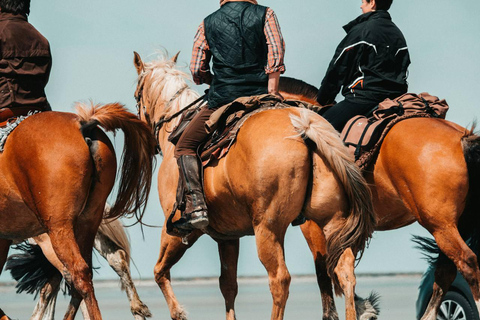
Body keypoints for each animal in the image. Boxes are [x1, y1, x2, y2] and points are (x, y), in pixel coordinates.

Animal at [0, 103, 154, 320]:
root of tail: (84, 125)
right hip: (88, 221)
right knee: (99, 265)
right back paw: (137, 308)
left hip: (57, 229)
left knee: (74, 274)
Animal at [133, 52, 376, 320]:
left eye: (136, 96)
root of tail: (304, 127)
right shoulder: (228, 237)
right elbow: (228, 285)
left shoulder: (179, 228)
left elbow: (159, 271)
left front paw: (178, 312)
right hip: (332, 221)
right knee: (344, 272)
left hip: (268, 228)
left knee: (280, 279)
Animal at [276, 77, 480, 320]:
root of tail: (463, 138)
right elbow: (343, 264)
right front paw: (364, 308)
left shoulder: (314, 226)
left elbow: (325, 271)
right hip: (456, 223)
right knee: (446, 271)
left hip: (440, 224)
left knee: (467, 263)